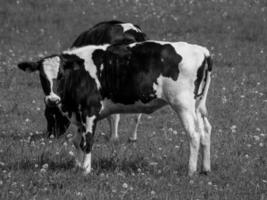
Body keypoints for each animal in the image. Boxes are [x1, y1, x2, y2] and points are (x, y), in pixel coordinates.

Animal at [17, 39, 214, 176]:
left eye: (61, 74)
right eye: (42, 76)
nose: (52, 99)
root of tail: (201, 50)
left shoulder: (90, 110)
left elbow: (87, 140)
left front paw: (86, 170)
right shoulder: (79, 114)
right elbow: (77, 141)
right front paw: (78, 166)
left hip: (183, 104)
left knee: (194, 134)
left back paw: (191, 171)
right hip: (197, 106)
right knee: (205, 130)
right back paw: (205, 169)